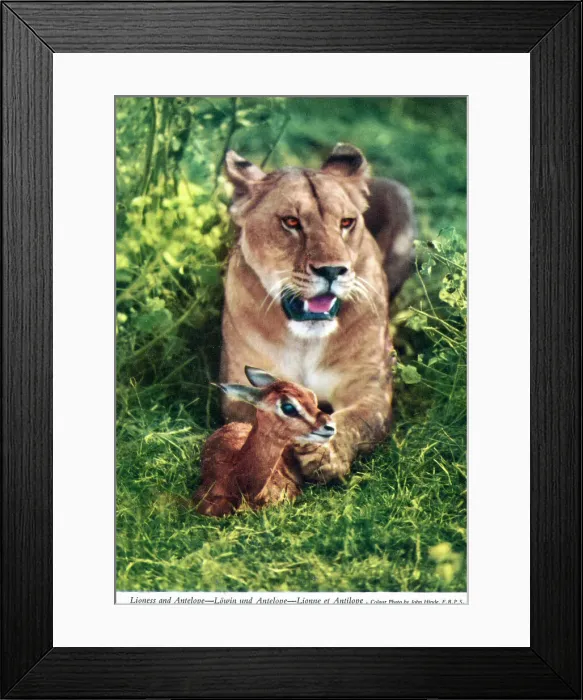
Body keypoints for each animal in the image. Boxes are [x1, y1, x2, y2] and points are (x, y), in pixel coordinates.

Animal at [219, 143, 415, 483]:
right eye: (291, 222)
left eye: (346, 223)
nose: (333, 270)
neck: (305, 342)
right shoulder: (237, 390)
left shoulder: (370, 390)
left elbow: (356, 420)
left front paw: (326, 453)